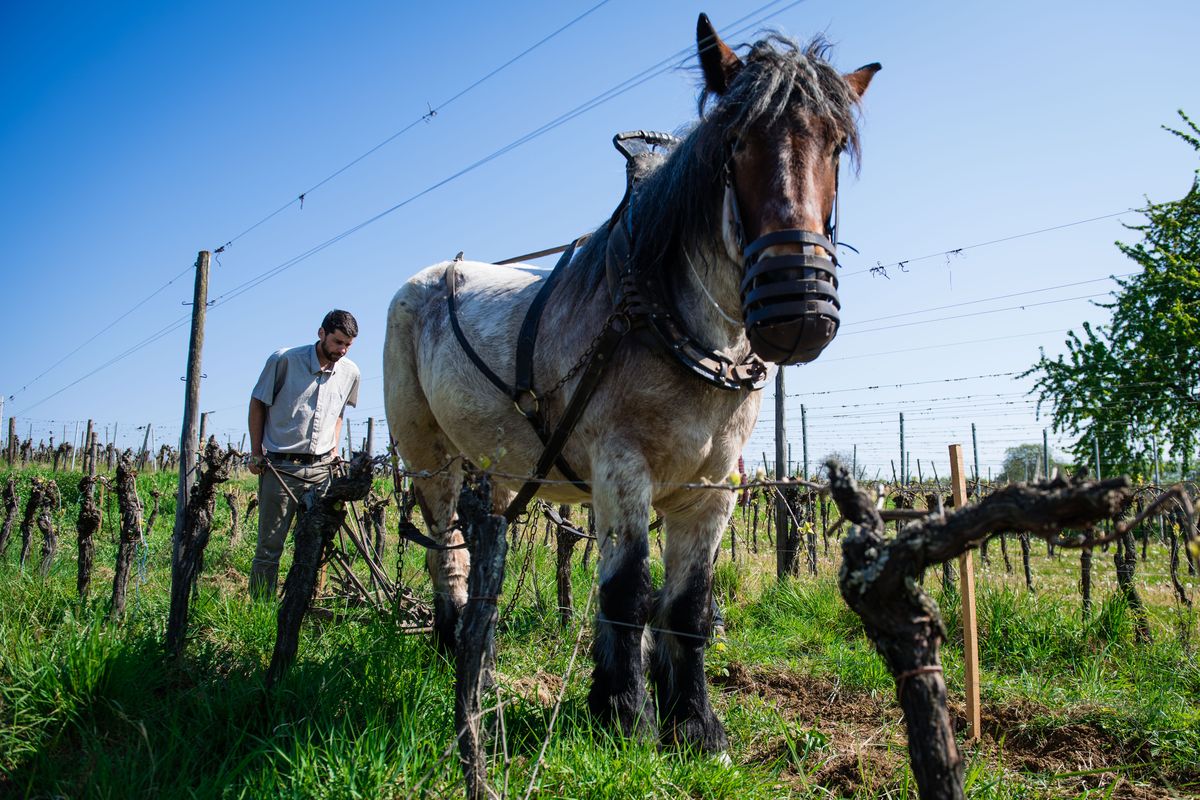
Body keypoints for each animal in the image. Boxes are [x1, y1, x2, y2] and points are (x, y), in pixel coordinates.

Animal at [384, 14, 878, 753]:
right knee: (448, 547)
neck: (681, 328)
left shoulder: (713, 490)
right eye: (735, 142)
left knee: (483, 542)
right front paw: (625, 714)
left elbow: (689, 606)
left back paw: (483, 651)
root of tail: (431, 274)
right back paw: (453, 647)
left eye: (837, 143)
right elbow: (626, 593)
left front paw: (697, 724)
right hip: (427, 455)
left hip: (497, 465)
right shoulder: (621, 471)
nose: (801, 306)